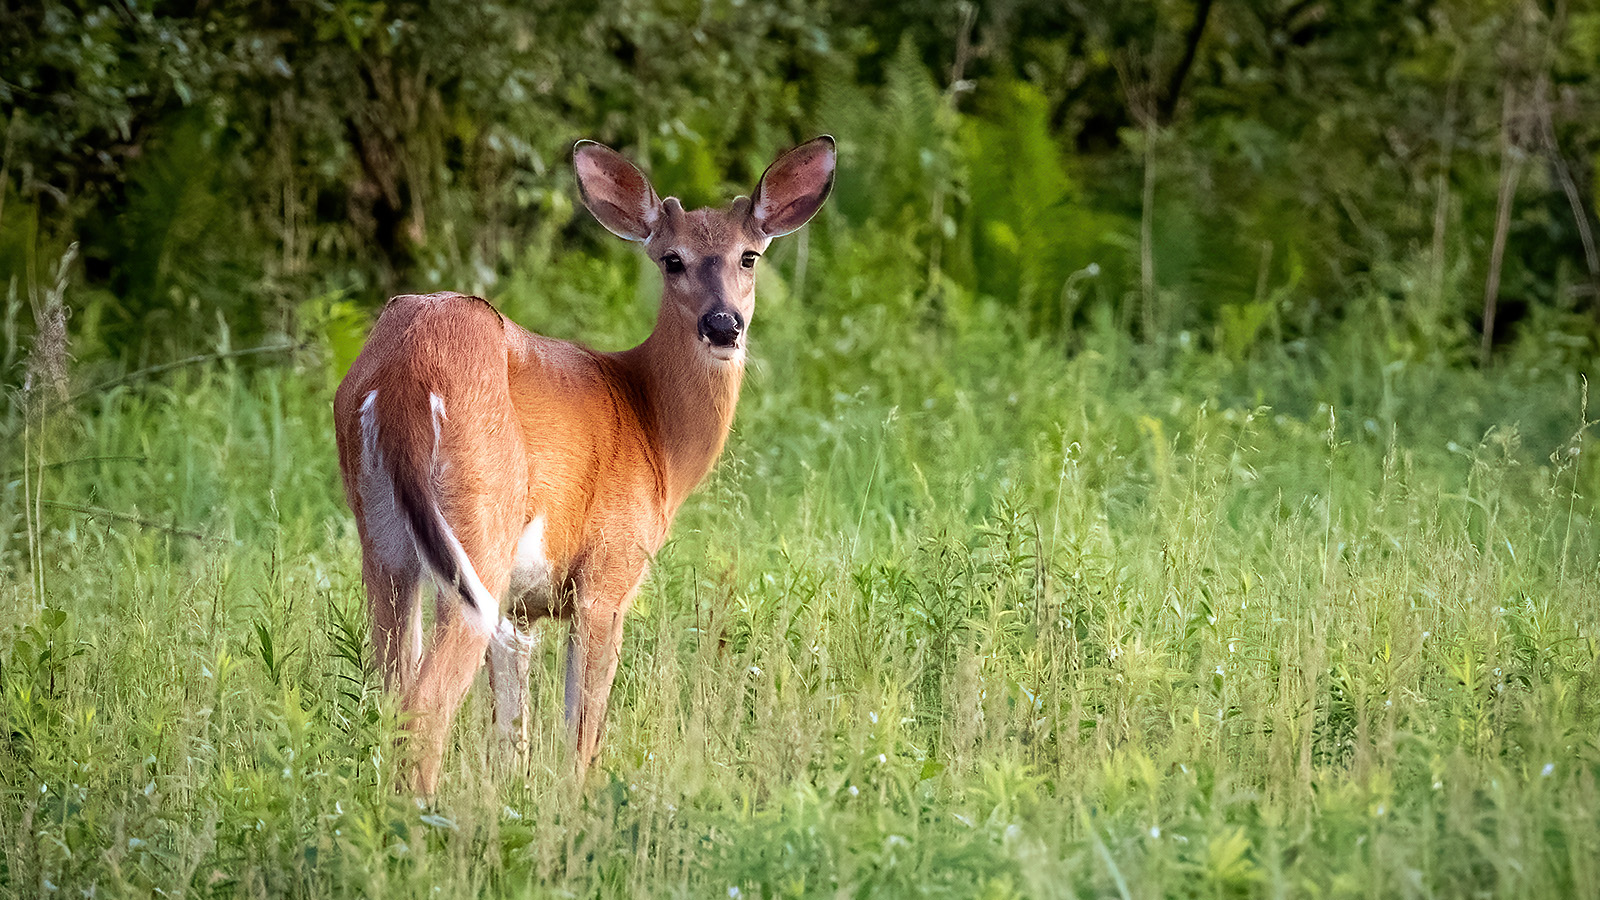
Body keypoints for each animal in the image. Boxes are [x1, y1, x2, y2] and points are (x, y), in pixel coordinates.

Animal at [329, 134, 832, 791]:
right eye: (671, 260)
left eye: (749, 257)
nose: (723, 324)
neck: (653, 429)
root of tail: (400, 371)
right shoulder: (608, 572)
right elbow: (581, 735)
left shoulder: (520, 610)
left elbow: (511, 735)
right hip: (480, 526)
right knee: (424, 706)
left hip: (385, 543)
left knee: (390, 692)